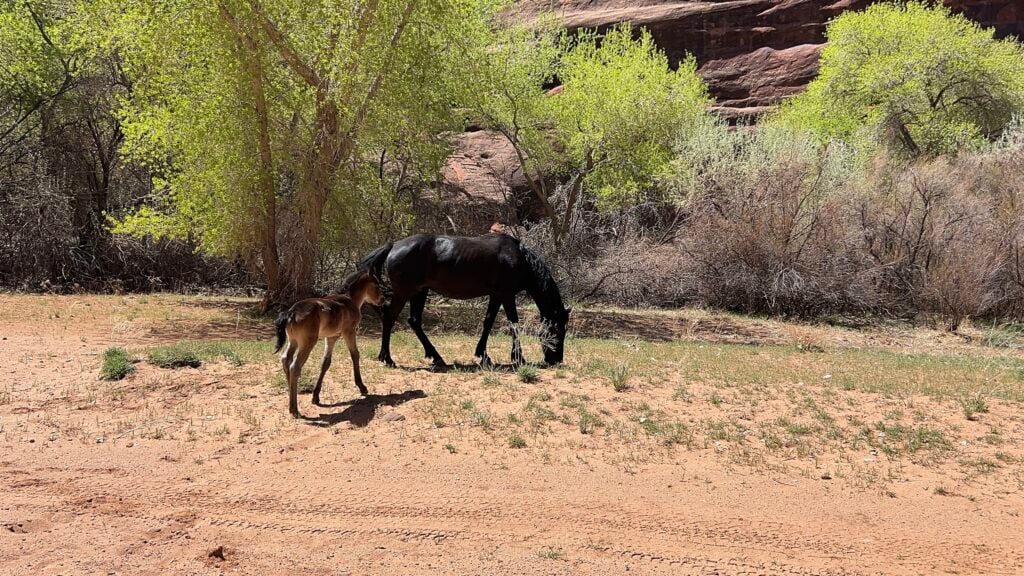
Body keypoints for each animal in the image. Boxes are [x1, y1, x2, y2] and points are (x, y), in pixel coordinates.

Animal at [273, 270, 385, 418]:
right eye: (376, 284)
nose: (382, 299)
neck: (349, 299)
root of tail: (291, 312)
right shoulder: (349, 331)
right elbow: (355, 354)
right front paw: (362, 387)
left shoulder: (331, 337)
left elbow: (325, 362)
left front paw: (316, 396)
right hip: (307, 342)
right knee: (294, 367)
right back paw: (294, 409)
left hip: (294, 341)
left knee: (286, 358)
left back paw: (291, 395)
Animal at [357, 233, 570, 368]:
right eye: (558, 330)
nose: (556, 359)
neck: (518, 257)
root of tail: (394, 246)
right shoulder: (507, 294)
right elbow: (513, 323)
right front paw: (518, 358)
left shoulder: (496, 295)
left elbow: (488, 322)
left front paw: (483, 355)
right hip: (405, 292)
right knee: (389, 317)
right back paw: (387, 358)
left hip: (420, 292)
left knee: (414, 321)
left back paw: (436, 357)